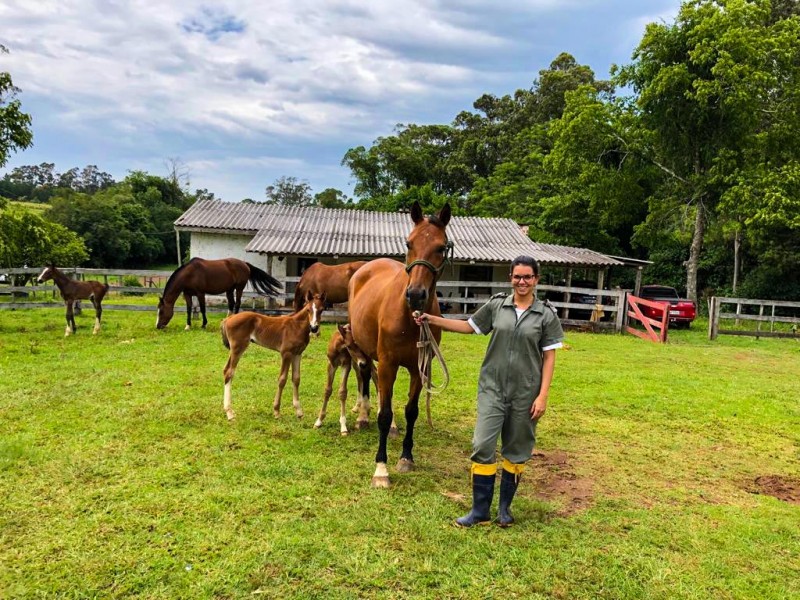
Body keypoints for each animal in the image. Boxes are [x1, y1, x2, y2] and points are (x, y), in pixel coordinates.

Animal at [219, 290, 324, 422]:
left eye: (321, 310)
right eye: (308, 309)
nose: (314, 328)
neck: (296, 326)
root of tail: (228, 318)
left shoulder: (297, 354)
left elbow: (296, 379)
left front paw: (299, 411)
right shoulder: (286, 353)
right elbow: (282, 379)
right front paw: (277, 411)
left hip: (234, 350)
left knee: (225, 370)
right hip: (238, 348)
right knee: (229, 372)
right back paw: (229, 413)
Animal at [348, 202, 454, 488]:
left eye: (441, 247)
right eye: (409, 243)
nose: (415, 295)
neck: (410, 318)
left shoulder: (420, 367)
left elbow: (411, 411)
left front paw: (406, 457)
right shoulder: (388, 362)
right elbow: (383, 414)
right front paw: (381, 469)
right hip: (366, 350)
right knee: (366, 376)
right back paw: (363, 416)